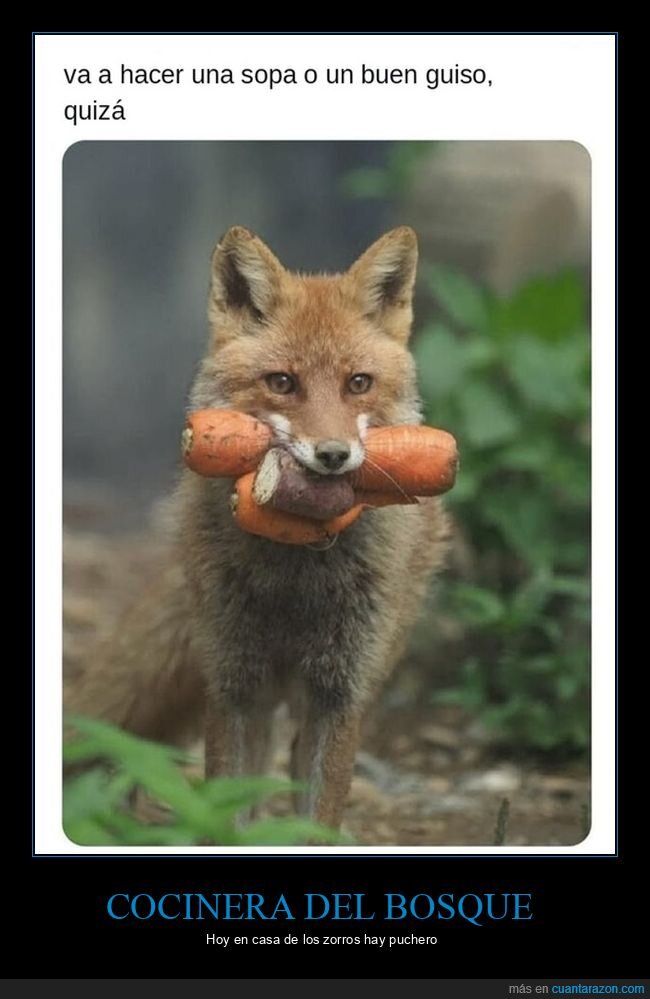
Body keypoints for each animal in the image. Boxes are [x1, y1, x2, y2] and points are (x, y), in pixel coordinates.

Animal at [65, 225, 451, 833]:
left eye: (358, 383)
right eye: (283, 382)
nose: (333, 455)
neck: (297, 566)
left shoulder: (339, 693)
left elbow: (317, 823)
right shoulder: (234, 683)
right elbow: (225, 813)